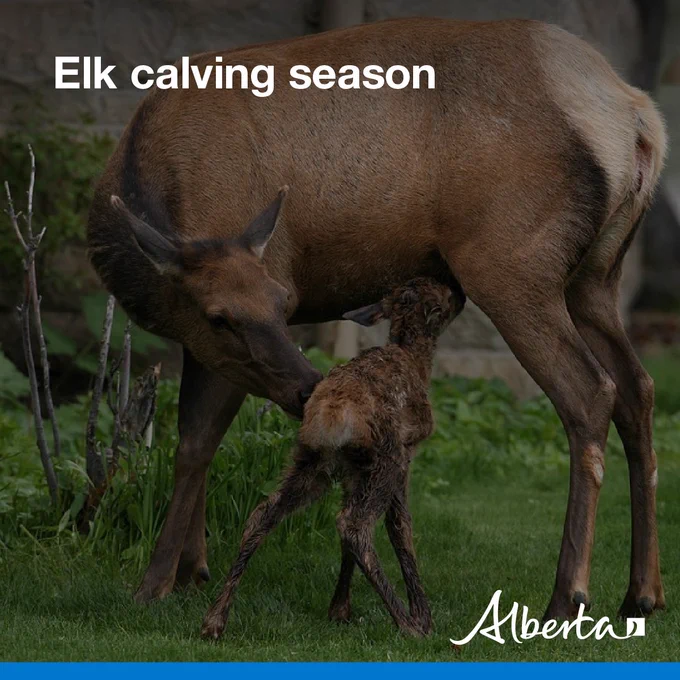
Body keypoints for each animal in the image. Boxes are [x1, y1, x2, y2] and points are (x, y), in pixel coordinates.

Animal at [201, 277, 465, 640]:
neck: (416, 358)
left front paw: (339, 609)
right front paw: (422, 616)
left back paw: (214, 620)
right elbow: (401, 528)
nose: (462, 294)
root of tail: (330, 414)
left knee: (263, 514)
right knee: (354, 524)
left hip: (312, 461)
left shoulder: (353, 471)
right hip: (385, 458)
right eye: (444, 293)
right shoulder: (406, 452)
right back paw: (407, 624)